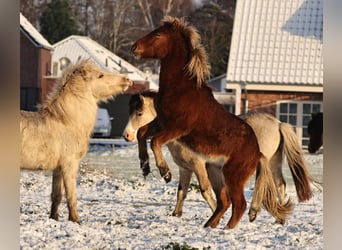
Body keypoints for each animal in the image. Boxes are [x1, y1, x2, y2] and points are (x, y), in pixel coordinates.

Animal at [20, 60, 132, 223]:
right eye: (100, 75)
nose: (127, 80)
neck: (67, 121)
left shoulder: (58, 168)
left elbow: (57, 196)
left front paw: (54, 218)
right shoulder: (69, 164)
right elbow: (71, 195)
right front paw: (76, 220)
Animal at [130, 16, 292, 229]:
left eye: (158, 34)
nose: (134, 47)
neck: (181, 88)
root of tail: (258, 153)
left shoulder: (177, 127)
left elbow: (155, 141)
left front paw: (165, 173)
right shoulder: (162, 122)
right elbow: (142, 133)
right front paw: (145, 166)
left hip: (232, 176)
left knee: (239, 204)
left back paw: (226, 229)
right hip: (214, 171)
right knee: (225, 202)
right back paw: (209, 226)